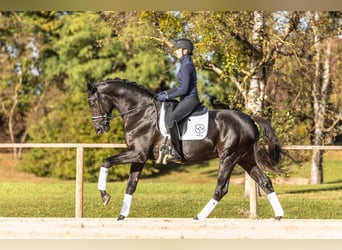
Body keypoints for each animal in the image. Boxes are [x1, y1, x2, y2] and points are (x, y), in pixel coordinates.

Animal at [87, 78, 284, 221]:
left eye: (92, 102)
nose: (99, 129)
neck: (141, 113)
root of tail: (249, 118)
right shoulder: (139, 157)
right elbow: (131, 185)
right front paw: (122, 215)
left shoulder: (137, 154)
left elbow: (106, 162)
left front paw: (104, 196)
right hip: (245, 158)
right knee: (265, 182)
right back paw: (278, 216)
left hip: (229, 157)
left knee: (221, 189)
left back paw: (198, 217)